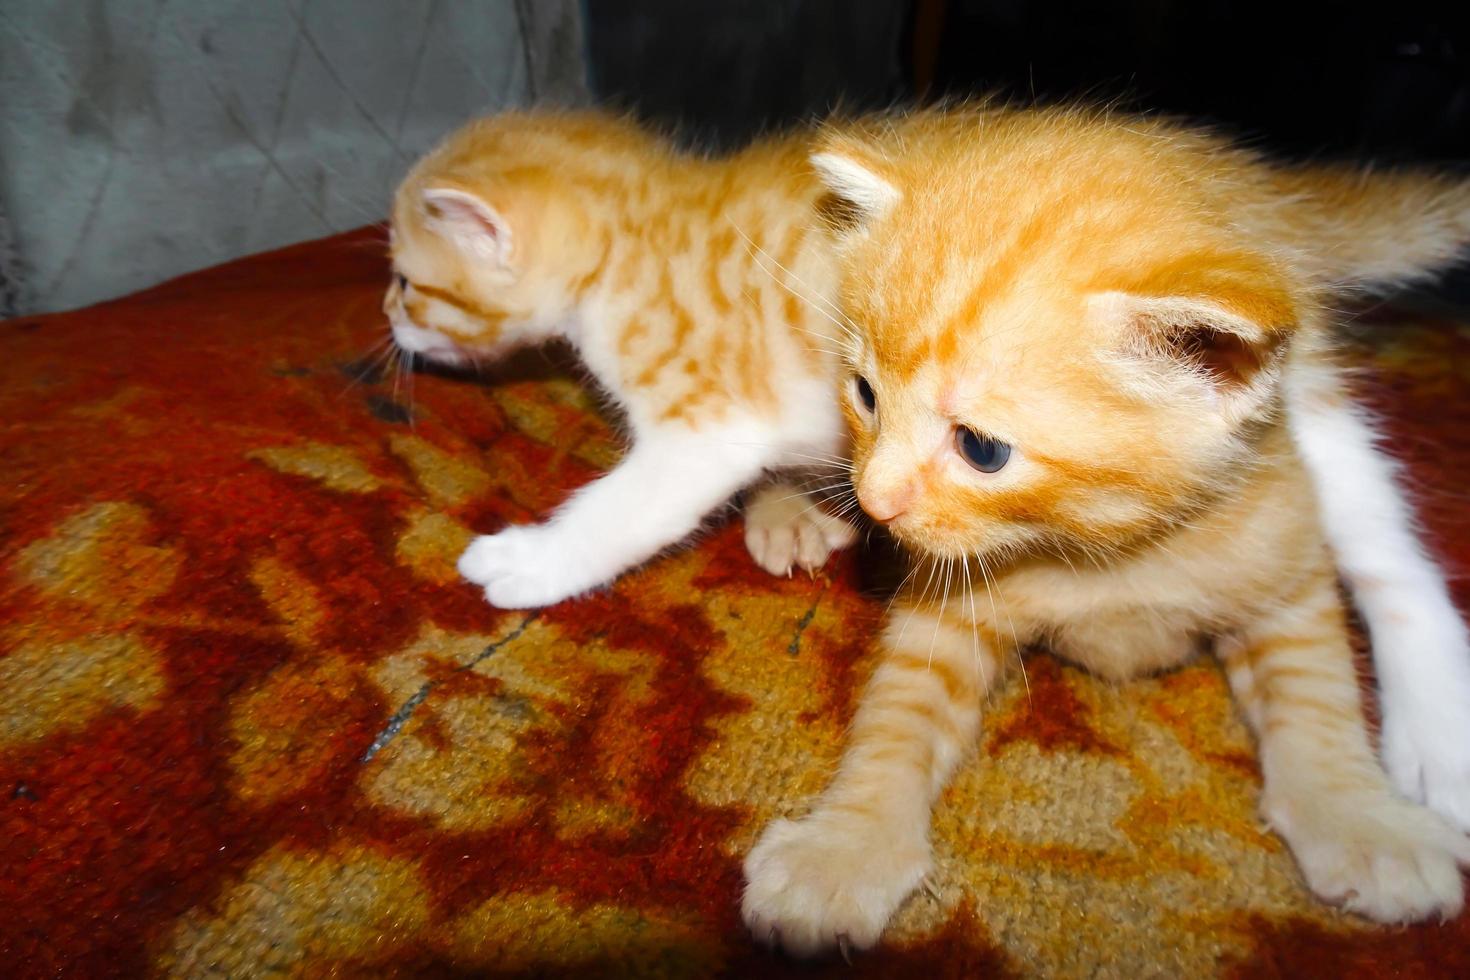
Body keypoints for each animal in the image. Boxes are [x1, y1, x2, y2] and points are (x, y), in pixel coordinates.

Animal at [740, 109, 1470, 957]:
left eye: (981, 449)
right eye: (864, 395)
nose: (877, 502)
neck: (1106, 547)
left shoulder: (1285, 564)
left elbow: (1319, 698)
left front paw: (1361, 821)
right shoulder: (943, 615)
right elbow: (897, 719)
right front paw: (844, 848)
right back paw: (786, 511)